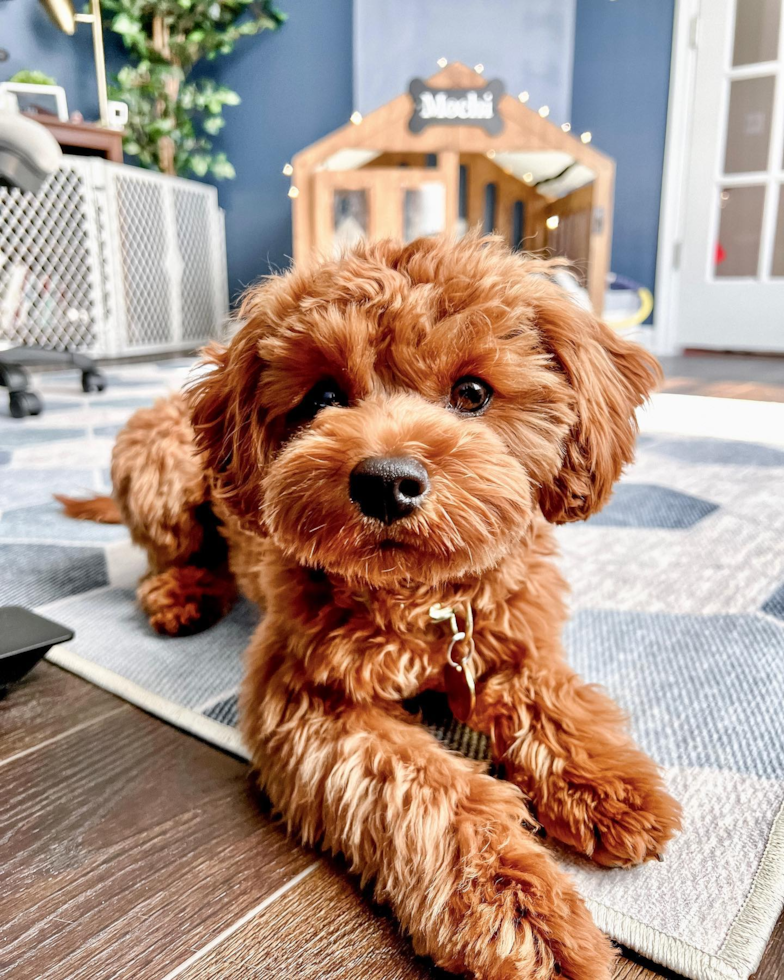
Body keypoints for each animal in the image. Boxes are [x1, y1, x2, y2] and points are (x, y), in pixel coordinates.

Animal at [61, 237, 680, 980]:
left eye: (473, 393)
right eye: (324, 396)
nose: (386, 482)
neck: (420, 598)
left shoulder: (513, 640)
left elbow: (557, 703)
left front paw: (610, 788)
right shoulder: (310, 699)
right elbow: (435, 792)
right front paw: (521, 912)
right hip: (164, 473)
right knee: (173, 552)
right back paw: (181, 595)